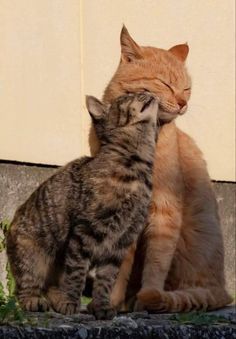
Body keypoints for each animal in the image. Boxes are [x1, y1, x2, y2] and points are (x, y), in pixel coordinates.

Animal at [6, 91, 159, 320]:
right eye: (128, 96)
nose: (149, 91)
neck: (136, 167)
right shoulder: (84, 232)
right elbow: (76, 273)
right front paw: (71, 302)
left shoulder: (121, 242)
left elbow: (106, 280)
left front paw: (101, 306)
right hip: (33, 255)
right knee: (26, 287)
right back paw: (36, 301)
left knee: (51, 287)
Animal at [88, 27, 230, 314]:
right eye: (165, 84)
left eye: (186, 88)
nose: (183, 102)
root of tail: (224, 291)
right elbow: (118, 267)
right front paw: (111, 302)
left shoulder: (165, 210)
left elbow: (156, 264)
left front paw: (147, 297)